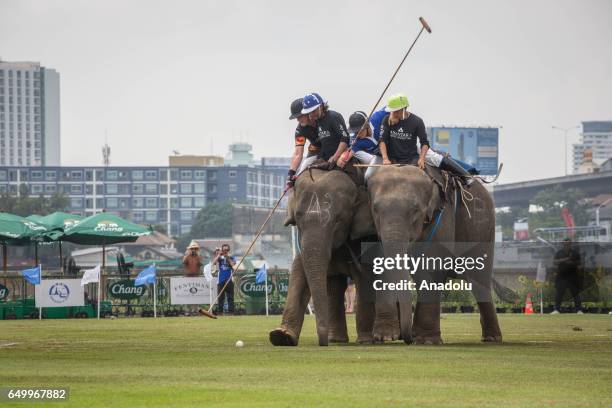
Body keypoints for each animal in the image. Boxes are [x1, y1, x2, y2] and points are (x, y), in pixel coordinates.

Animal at [268, 167, 378, 348]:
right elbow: (299, 272)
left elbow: (364, 277)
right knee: (335, 286)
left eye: (338, 221)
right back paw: (337, 339)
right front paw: (281, 336)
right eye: (298, 219)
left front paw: (365, 341)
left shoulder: (364, 237)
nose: (323, 342)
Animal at [368, 165, 502, 344]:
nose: (407, 339)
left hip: (482, 228)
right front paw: (385, 337)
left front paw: (427, 341)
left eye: (415, 210)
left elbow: (432, 266)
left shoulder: (443, 216)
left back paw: (492, 338)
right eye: (375, 209)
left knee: (479, 279)